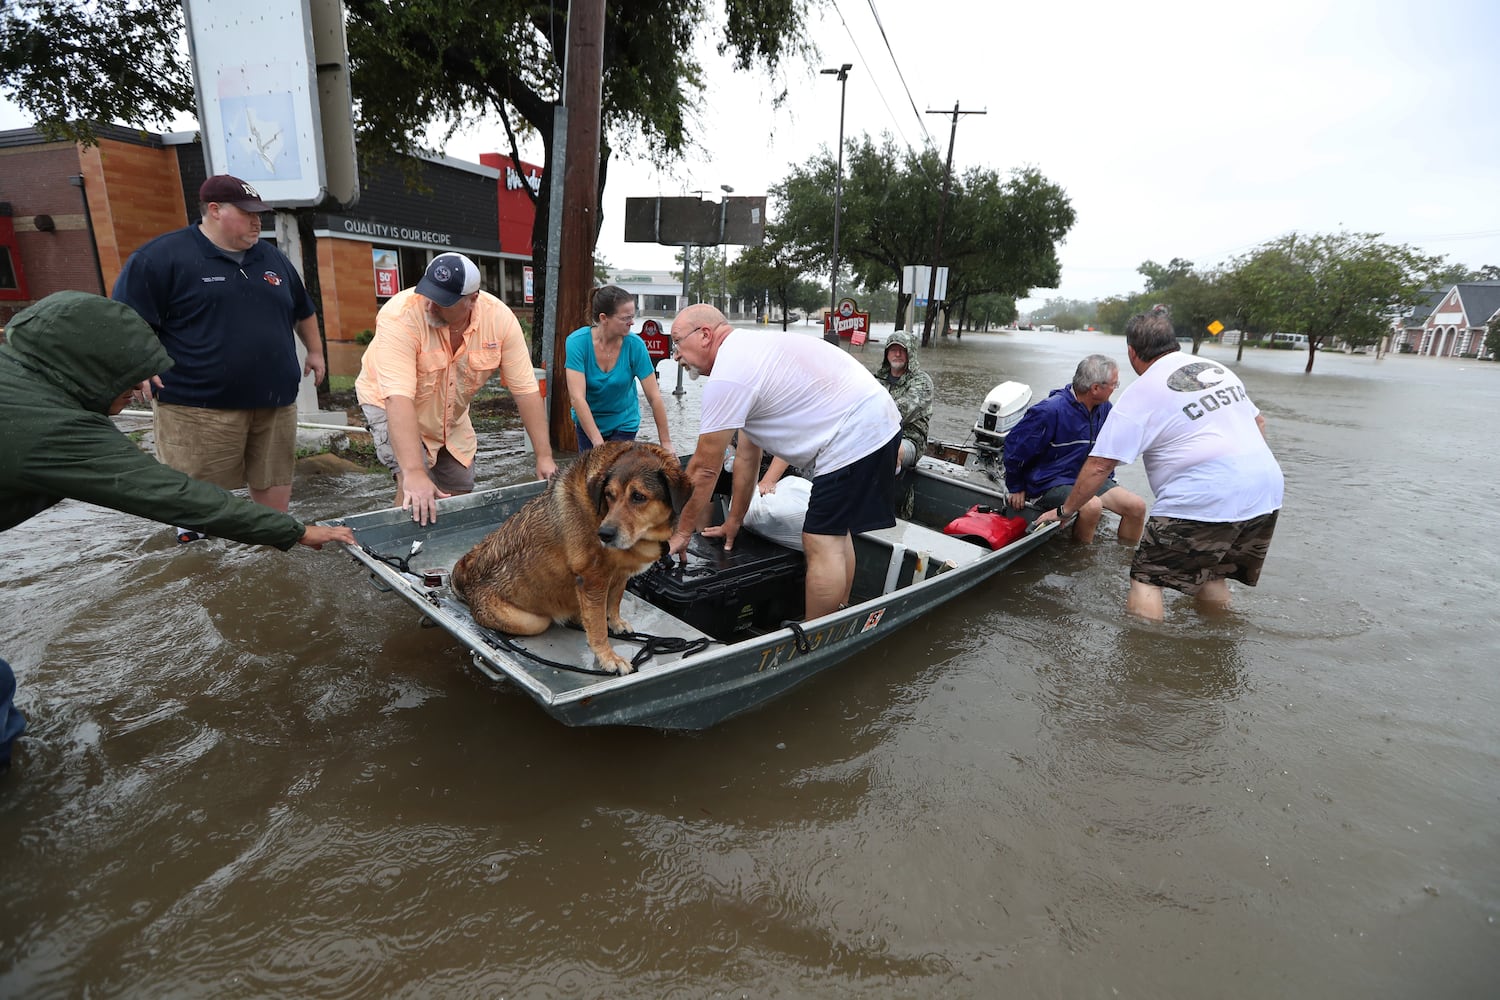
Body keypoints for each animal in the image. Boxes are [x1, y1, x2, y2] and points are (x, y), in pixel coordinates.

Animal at [450, 440, 690, 677]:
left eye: (639, 496)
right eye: (609, 495)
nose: (604, 534)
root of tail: (468, 585)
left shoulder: (619, 575)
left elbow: (614, 601)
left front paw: (615, 622)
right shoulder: (592, 579)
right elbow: (598, 627)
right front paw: (608, 657)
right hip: (532, 621)